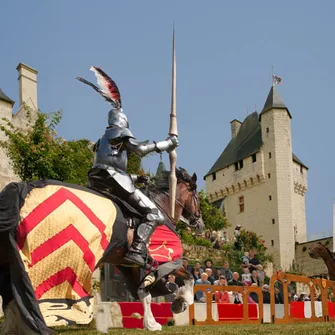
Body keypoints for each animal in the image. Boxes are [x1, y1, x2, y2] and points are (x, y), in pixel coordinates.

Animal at [0, 169, 205, 334]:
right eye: (196, 197)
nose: (200, 224)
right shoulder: (165, 261)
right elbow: (189, 277)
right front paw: (180, 303)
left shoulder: (129, 265)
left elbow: (144, 294)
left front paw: (151, 323)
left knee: (12, 300)